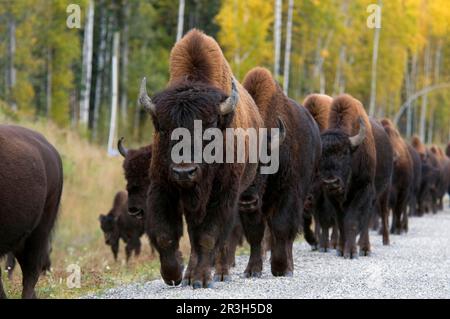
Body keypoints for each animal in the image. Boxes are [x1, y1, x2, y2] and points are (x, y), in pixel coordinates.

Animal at [139, 29, 262, 290]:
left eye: (210, 126)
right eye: (162, 127)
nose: (185, 171)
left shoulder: (223, 193)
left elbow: (209, 236)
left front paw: (201, 279)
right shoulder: (163, 187)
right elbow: (166, 235)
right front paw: (174, 274)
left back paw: (220, 273)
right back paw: (188, 275)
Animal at [241, 67, 322, 278]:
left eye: (264, 161)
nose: (247, 199)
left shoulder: (288, 194)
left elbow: (282, 227)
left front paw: (280, 268)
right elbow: (255, 233)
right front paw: (252, 270)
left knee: (288, 234)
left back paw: (288, 266)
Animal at [320, 95, 390, 260]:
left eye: (344, 153)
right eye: (321, 155)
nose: (331, 182)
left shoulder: (362, 190)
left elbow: (351, 220)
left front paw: (351, 252)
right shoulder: (332, 197)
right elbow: (340, 221)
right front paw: (341, 249)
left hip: (382, 193)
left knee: (375, 215)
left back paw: (368, 247)